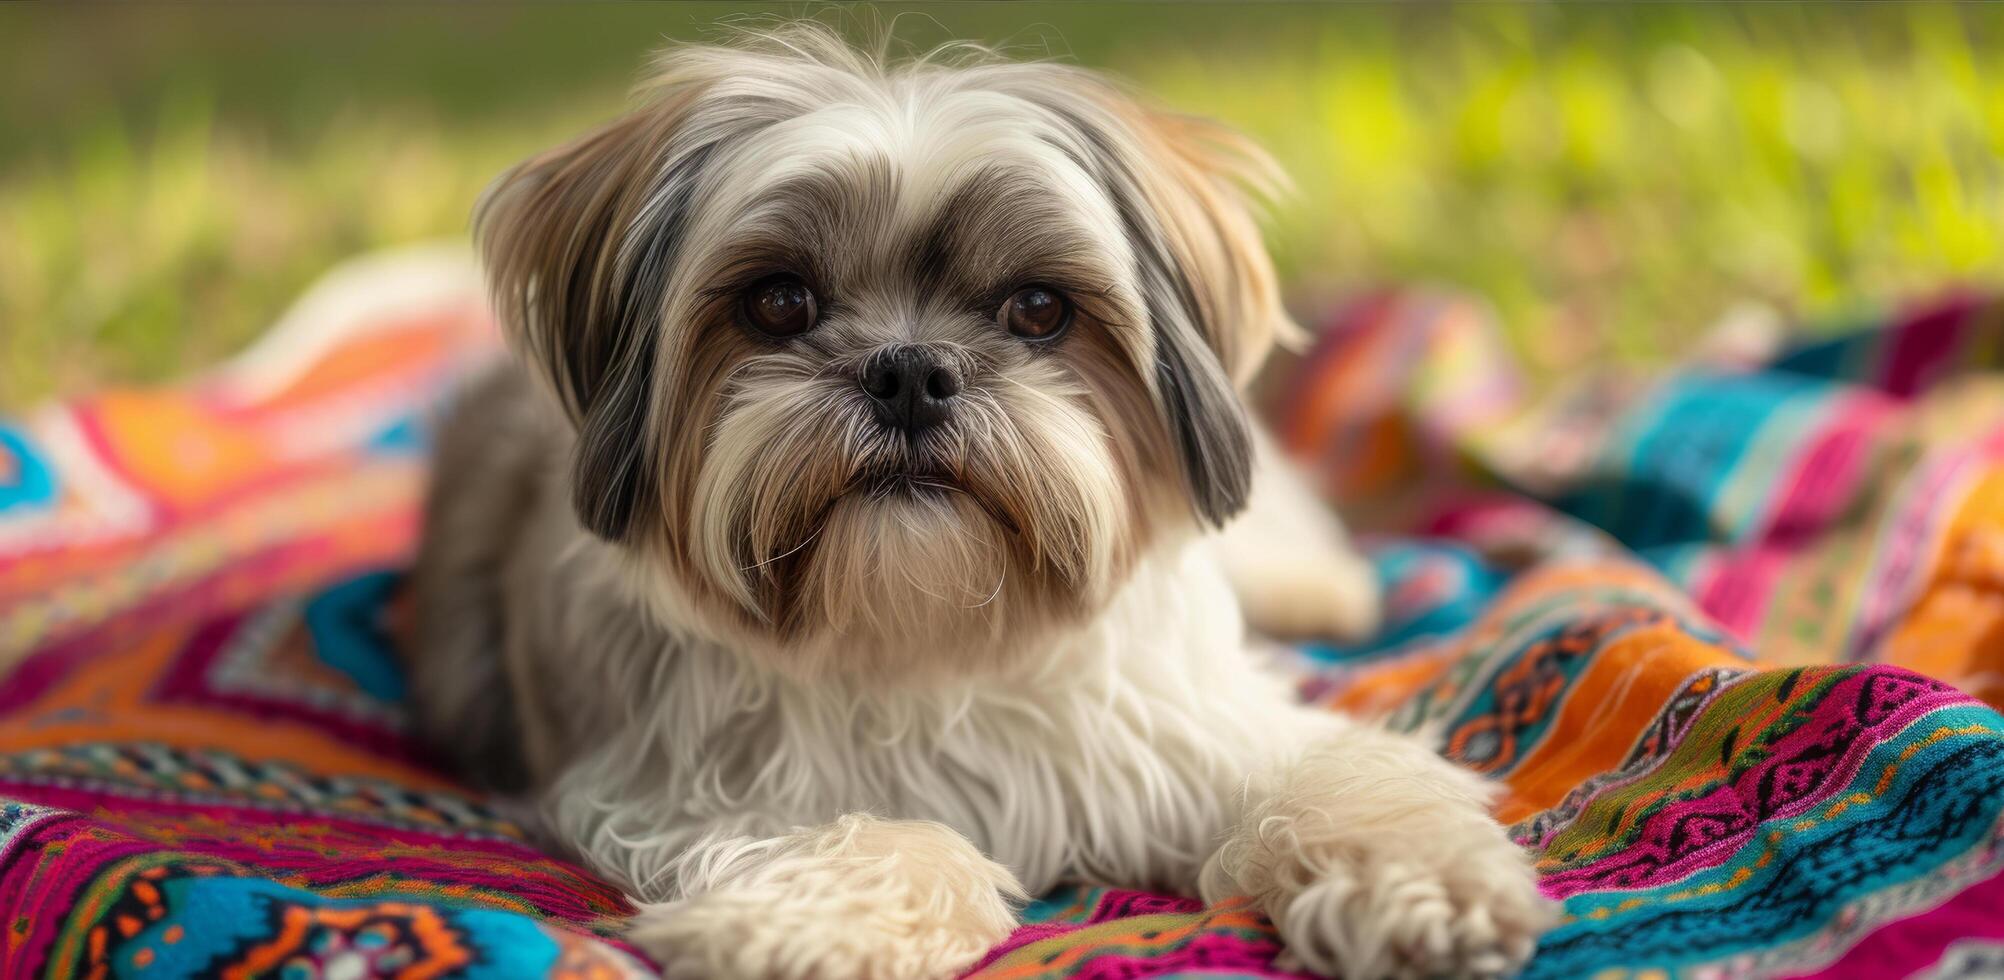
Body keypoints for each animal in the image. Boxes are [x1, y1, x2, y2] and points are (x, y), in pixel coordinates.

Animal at [410, 26, 1547, 977]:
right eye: (779, 301)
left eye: (1039, 308)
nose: (910, 372)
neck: (932, 637)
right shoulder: (678, 783)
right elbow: (880, 835)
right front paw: (811, 928)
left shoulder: (1184, 730)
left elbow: (1333, 772)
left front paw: (1426, 878)